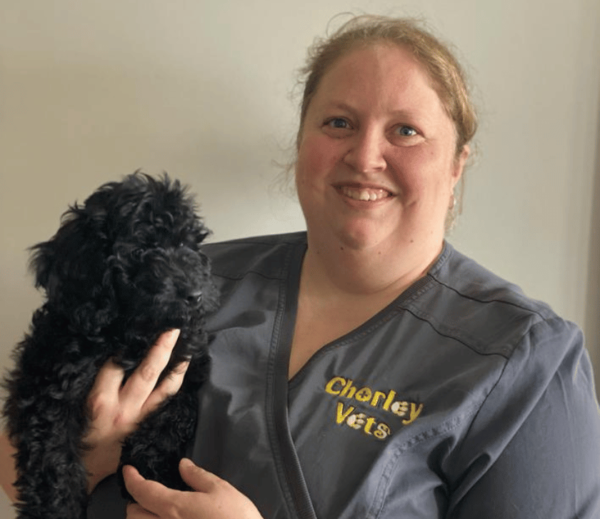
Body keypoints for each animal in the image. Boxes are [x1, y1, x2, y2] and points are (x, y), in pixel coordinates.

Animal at [2, 174, 218, 519]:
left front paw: (155, 476)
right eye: (140, 249)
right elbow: (52, 456)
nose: (195, 294)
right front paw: (56, 509)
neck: (132, 332)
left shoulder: (183, 372)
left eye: (186, 244)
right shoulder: (46, 390)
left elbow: (171, 417)